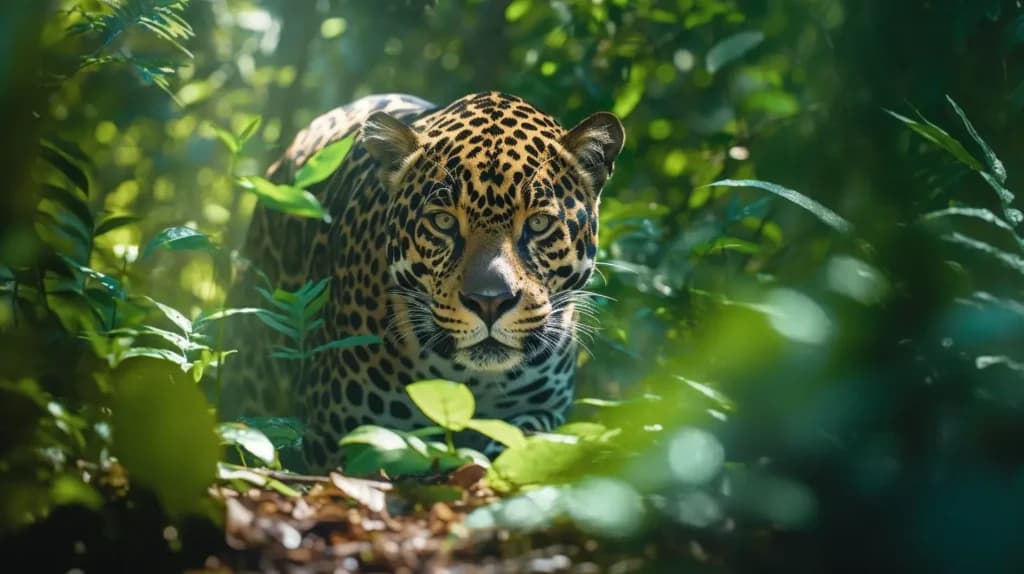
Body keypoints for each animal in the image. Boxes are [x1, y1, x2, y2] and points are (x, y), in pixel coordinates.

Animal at [220, 91, 625, 472]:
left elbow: (518, 442)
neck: (473, 380)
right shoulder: (336, 434)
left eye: (539, 223)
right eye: (443, 222)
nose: (490, 301)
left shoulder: (542, 411)